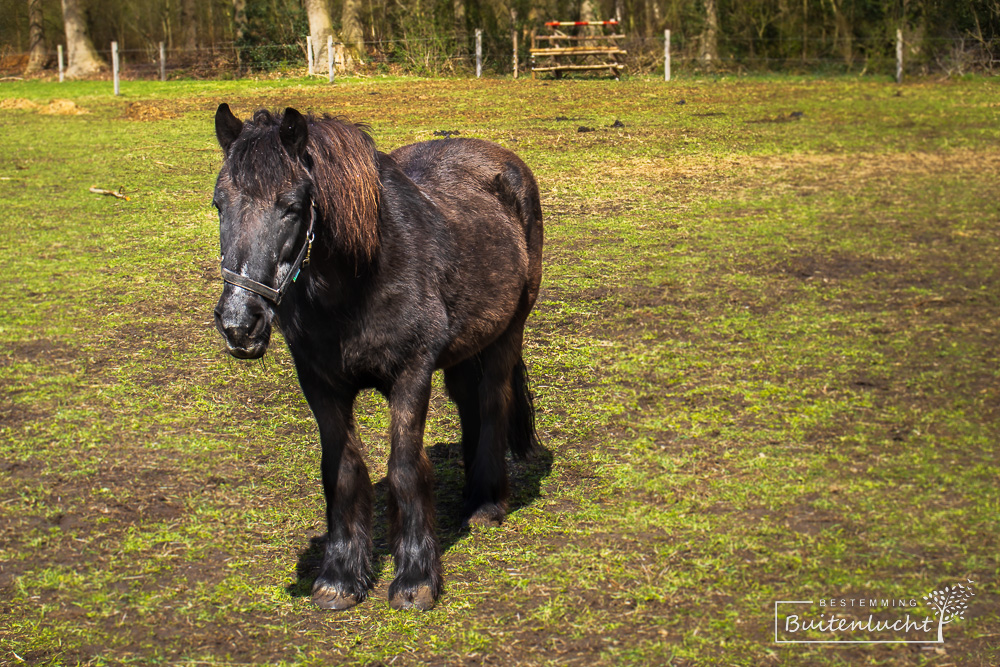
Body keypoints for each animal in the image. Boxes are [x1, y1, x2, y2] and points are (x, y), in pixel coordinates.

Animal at [207, 104, 544, 612]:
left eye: (292, 206)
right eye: (219, 204)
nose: (238, 324)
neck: (360, 281)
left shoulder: (411, 375)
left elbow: (404, 468)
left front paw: (415, 580)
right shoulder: (320, 384)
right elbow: (343, 470)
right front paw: (340, 577)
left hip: (509, 331)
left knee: (491, 402)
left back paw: (487, 503)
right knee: (468, 403)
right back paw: (470, 495)